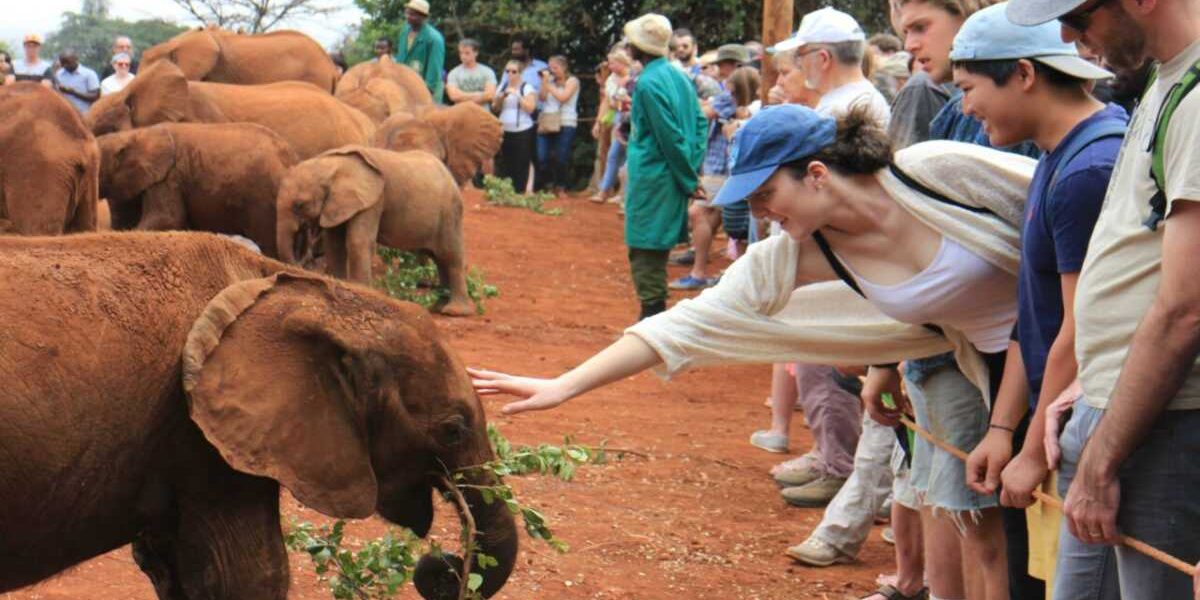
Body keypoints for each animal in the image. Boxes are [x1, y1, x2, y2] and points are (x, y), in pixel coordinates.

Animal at [276, 146, 472, 316]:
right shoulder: (336, 204)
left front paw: (359, 290)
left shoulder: (373, 200)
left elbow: (357, 241)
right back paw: (437, 308)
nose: (300, 266)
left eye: (300, 205)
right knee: (439, 259)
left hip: (450, 213)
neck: (332, 166)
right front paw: (338, 283)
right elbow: (334, 244)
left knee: (450, 257)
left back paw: (454, 312)